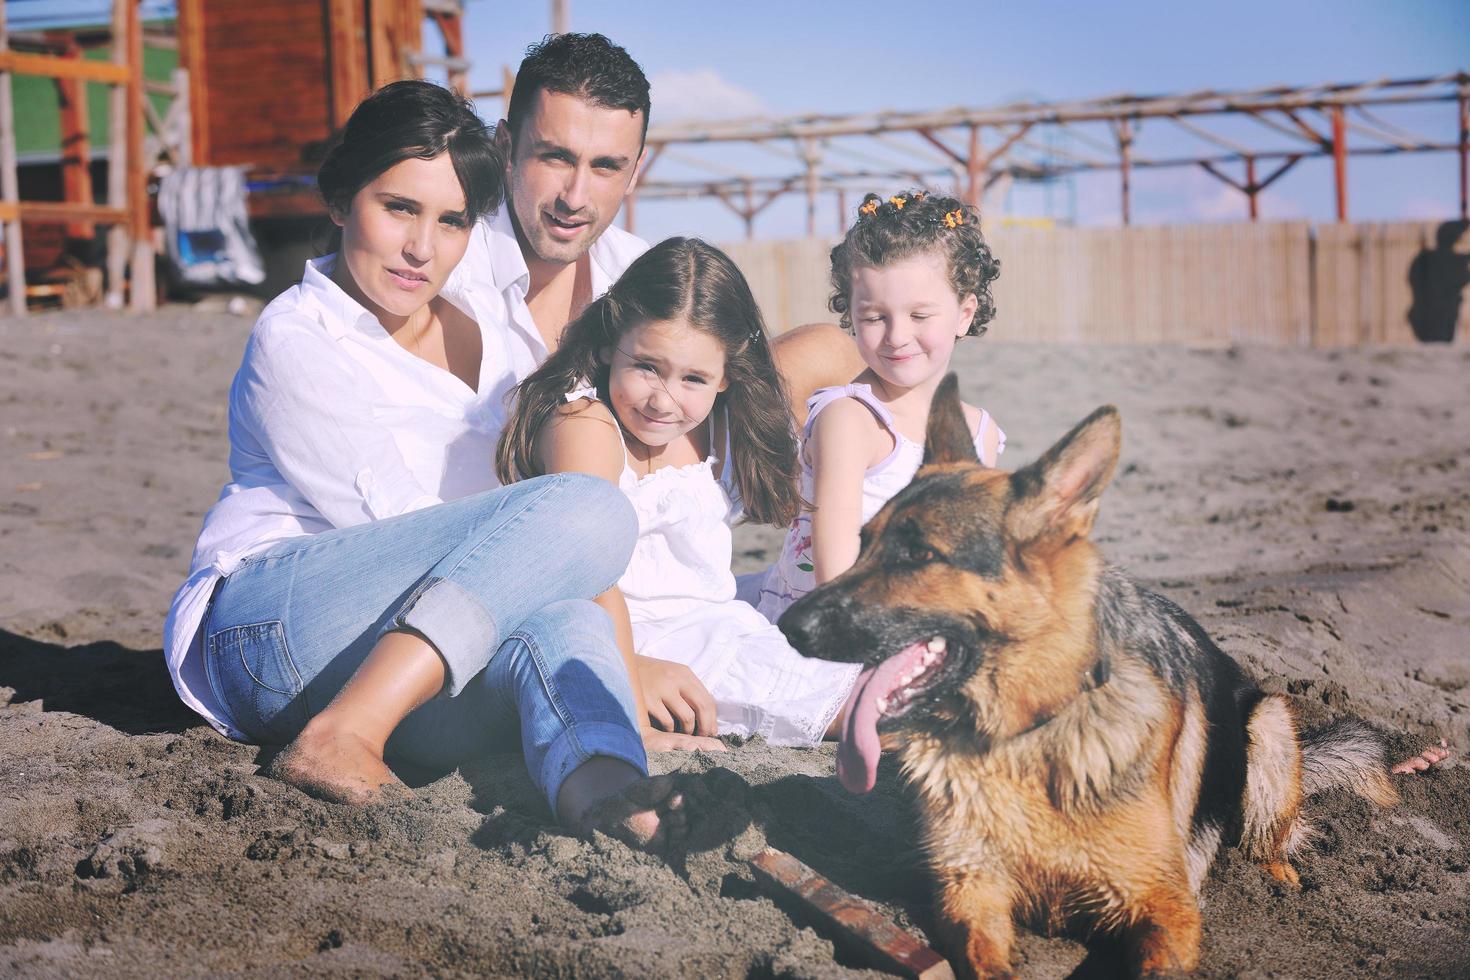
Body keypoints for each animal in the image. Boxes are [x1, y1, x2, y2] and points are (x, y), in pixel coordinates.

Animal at [776, 373, 1393, 975]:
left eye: (920, 555)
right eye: (863, 543)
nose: (787, 626)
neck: (1023, 736)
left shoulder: (1166, 905)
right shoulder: (970, 890)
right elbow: (984, 959)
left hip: (1269, 723)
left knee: (1272, 839)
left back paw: (1279, 880)